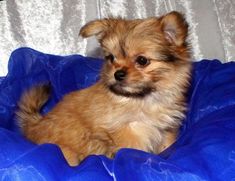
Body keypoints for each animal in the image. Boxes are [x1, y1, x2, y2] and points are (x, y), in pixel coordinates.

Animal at [17, 11, 192, 166]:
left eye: (142, 60)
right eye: (111, 58)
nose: (117, 73)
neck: (142, 99)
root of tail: (34, 125)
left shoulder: (166, 129)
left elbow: (166, 146)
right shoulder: (129, 132)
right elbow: (133, 151)